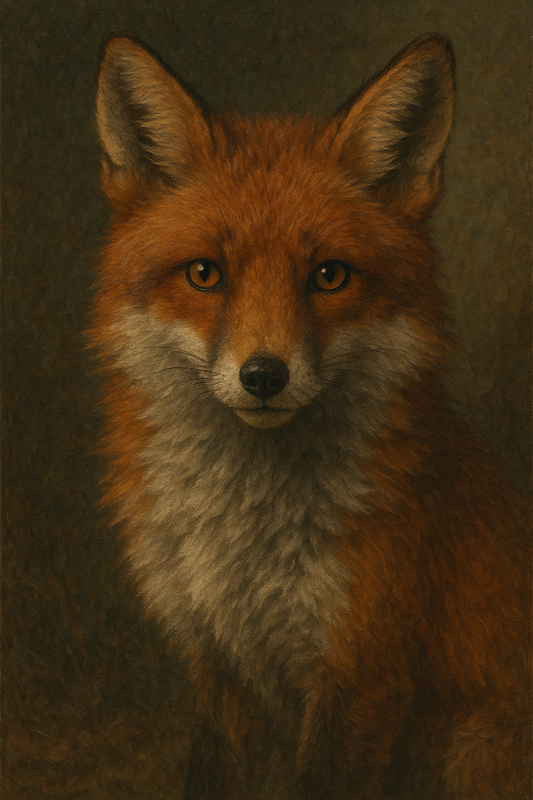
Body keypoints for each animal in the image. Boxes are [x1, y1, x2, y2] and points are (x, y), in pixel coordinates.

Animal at [91, 33, 530, 799]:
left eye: (328, 276)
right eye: (204, 274)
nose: (264, 376)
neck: (248, 540)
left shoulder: (361, 675)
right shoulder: (218, 664)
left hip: (474, 750)